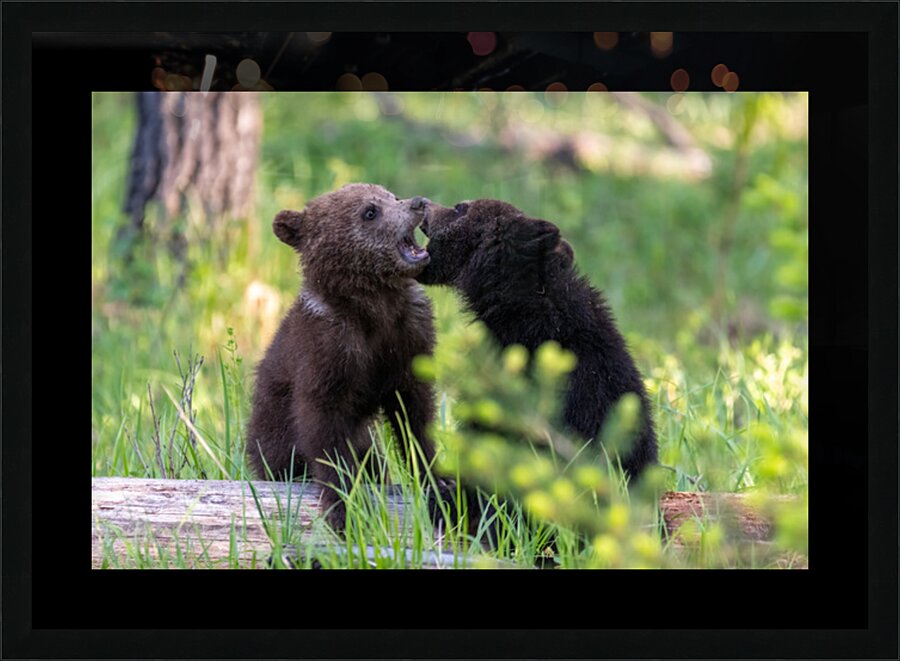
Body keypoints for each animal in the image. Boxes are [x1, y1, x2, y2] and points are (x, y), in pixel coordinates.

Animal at [246, 183, 439, 532]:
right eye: (370, 211)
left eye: (391, 195)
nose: (418, 203)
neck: (376, 305)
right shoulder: (328, 349)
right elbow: (323, 426)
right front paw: (343, 507)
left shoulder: (409, 337)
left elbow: (415, 414)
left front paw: (438, 480)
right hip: (272, 435)